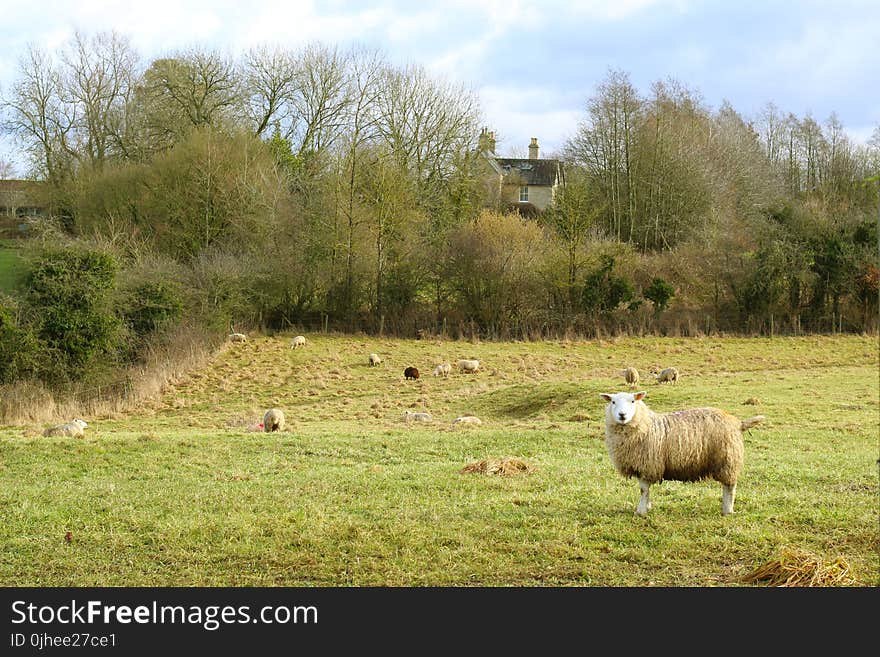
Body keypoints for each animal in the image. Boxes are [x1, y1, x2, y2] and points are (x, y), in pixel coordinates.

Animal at [600, 390, 764, 516]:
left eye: (633, 401)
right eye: (613, 402)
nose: (622, 415)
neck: (645, 425)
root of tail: (738, 422)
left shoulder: (648, 465)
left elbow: (643, 490)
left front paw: (641, 511)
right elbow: (645, 491)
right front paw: (647, 507)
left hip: (727, 459)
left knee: (729, 486)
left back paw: (727, 510)